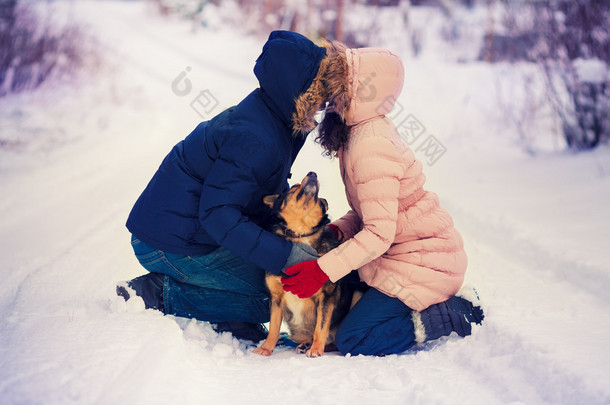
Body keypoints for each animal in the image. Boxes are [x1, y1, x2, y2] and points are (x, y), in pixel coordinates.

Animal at [252, 170, 356, 356]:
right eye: (294, 186)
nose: (312, 173)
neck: (302, 233)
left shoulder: (326, 297)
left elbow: (321, 327)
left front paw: (316, 350)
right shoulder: (275, 297)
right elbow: (274, 329)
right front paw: (266, 348)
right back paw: (305, 344)